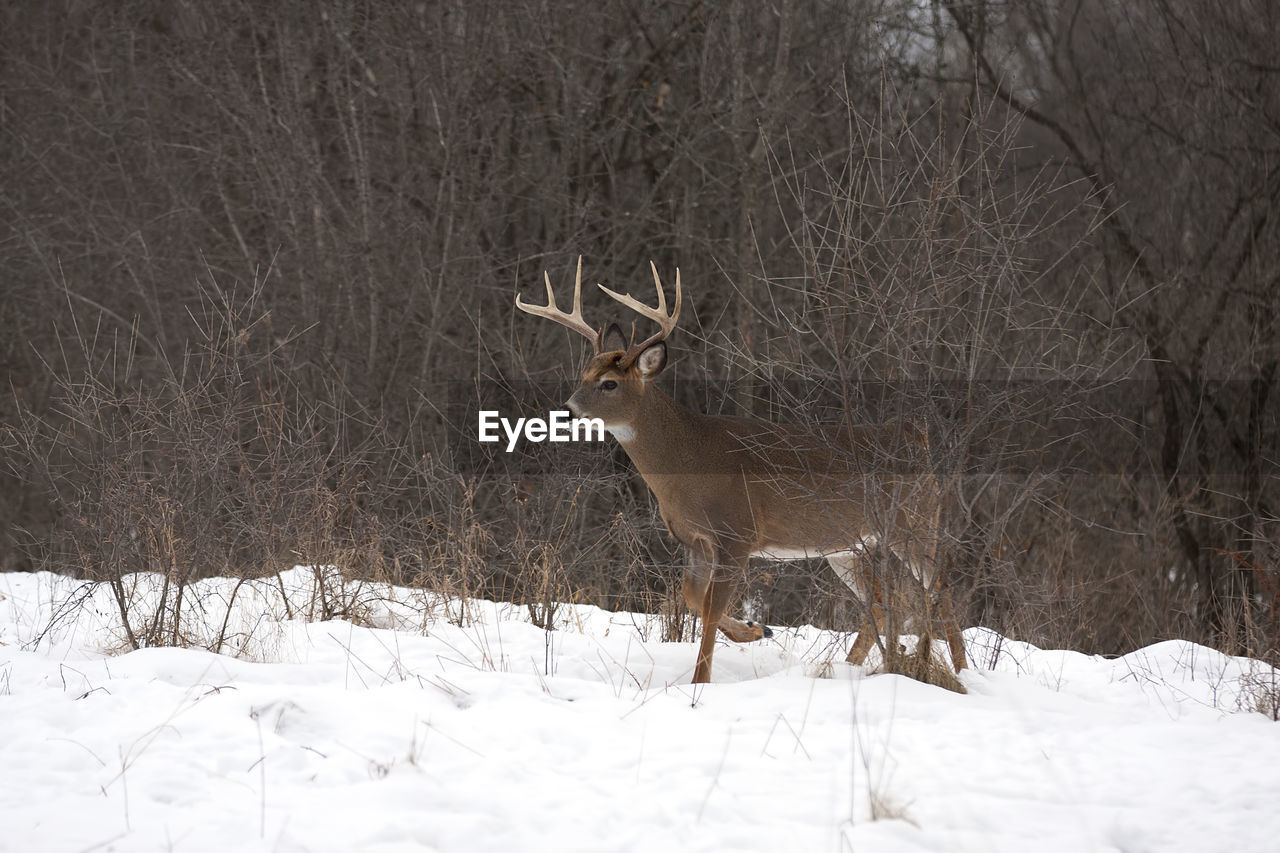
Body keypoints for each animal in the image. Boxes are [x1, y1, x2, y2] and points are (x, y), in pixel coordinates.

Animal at [514, 256, 962, 681]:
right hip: (847, 544)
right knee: (882, 604)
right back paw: (849, 669)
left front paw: (700, 683)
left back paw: (959, 671)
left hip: (912, 520)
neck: (689, 462)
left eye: (609, 383)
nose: (565, 411)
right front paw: (755, 629)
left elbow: (710, 608)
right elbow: (692, 598)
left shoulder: (738, 533)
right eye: (584, 373)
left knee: (939, 586)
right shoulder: (695, 539)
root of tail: (917, 437)